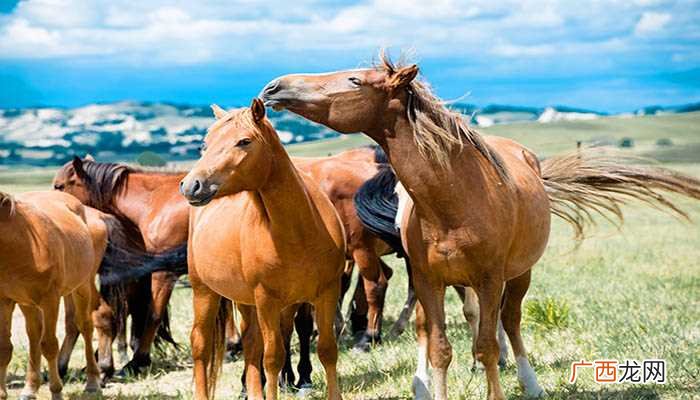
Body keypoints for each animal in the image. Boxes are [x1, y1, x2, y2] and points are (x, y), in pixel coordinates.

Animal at [0, 190, 105, 400]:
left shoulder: (50, 300)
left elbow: (49, 346)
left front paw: (56, 391)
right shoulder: (4, 301)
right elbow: (4, 348)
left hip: (82, 287)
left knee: (85, 327)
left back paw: (92, 383)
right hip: (27, 303)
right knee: (34, 335)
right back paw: (30, 388)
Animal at [180, 99, 346, 400]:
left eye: (244, 141)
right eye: (205, 144)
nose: (191, 185)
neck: (299, 232)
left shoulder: (327, 292)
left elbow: (327, 350)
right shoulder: (267, 300)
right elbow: (273, 358)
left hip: (245, 301)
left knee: (250, 345)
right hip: (204, 291)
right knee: (201, 345)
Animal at [259, 52, 700, 399]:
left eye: (354, 80)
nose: (273, 86)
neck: (454, 200)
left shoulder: (490, 279)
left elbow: (488, 344)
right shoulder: (430, 280)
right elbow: (439, 346)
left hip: (520, 275)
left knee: (511, 322)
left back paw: (529, 382)